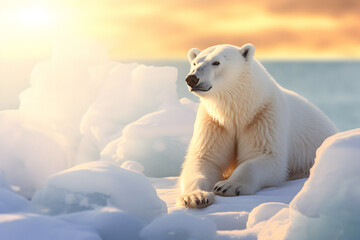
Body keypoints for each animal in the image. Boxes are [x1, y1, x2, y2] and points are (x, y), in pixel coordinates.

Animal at [177, 43, 338, 208]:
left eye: (216, 62)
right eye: (195, 63)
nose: (191, 78)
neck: (241, 111)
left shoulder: (264, 116)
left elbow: (266, 157)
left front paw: (228, 185)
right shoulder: (214, 122)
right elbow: (204, 158)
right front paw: (196, 196)